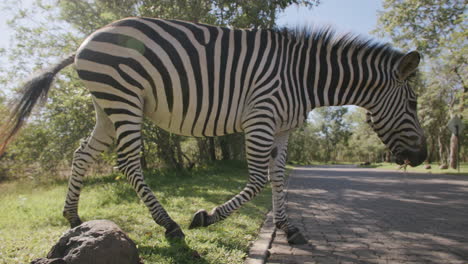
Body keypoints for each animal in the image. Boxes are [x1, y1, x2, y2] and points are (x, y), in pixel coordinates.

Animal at [0, 17, 426, 244]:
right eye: (413, 104)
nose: (421, 159)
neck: (304, 78)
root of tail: (84, 43)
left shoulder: (284, 128)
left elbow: (278, 178)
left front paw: (288, 229)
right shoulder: (261, 117)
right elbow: (257, 180)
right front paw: (204, 216)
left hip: (106, 105)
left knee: (82, 154)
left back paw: (73, 216)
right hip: (125, 98)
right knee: (128, 162)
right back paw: (170, 225)